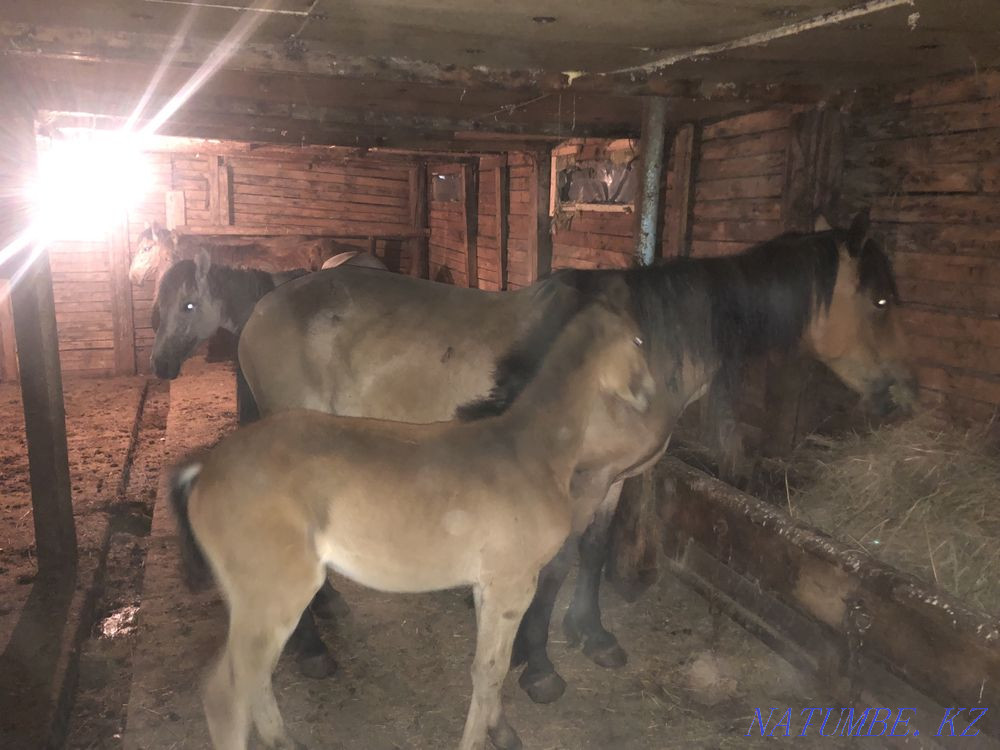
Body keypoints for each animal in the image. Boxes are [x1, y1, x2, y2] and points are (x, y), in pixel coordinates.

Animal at [169, 298, 659, 750]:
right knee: (226, 694)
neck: (530, 451)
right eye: (638, 340)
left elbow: (487, 668)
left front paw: (501, 731)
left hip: (251, 601)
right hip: (276, 593)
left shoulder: (487, 586)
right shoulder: (513, 584)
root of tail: (205, 471)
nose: (650, 393)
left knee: (255, 681)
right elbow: (490, 671)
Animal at [235, 210, 917, 703]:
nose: (902, 395)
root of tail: (263, 308)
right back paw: (313, 651)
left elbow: (594, 549)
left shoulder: (614, 478)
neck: (637, 348)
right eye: (881, 302)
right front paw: (539, 667)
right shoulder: (578, 479)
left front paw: (593, 635)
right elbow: (559, 563)